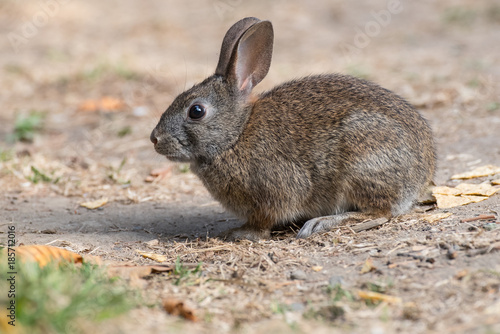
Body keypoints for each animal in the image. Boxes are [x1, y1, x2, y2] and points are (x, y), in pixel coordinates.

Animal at [150, 17, 436, 240]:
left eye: (196, 111)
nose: (154, 138)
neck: (236, 135)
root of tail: (422, 176)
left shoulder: (274, 191)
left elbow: (264, 221)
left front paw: (240, 233)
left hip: (361, 162)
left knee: (380, 212)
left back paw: (322, 223)